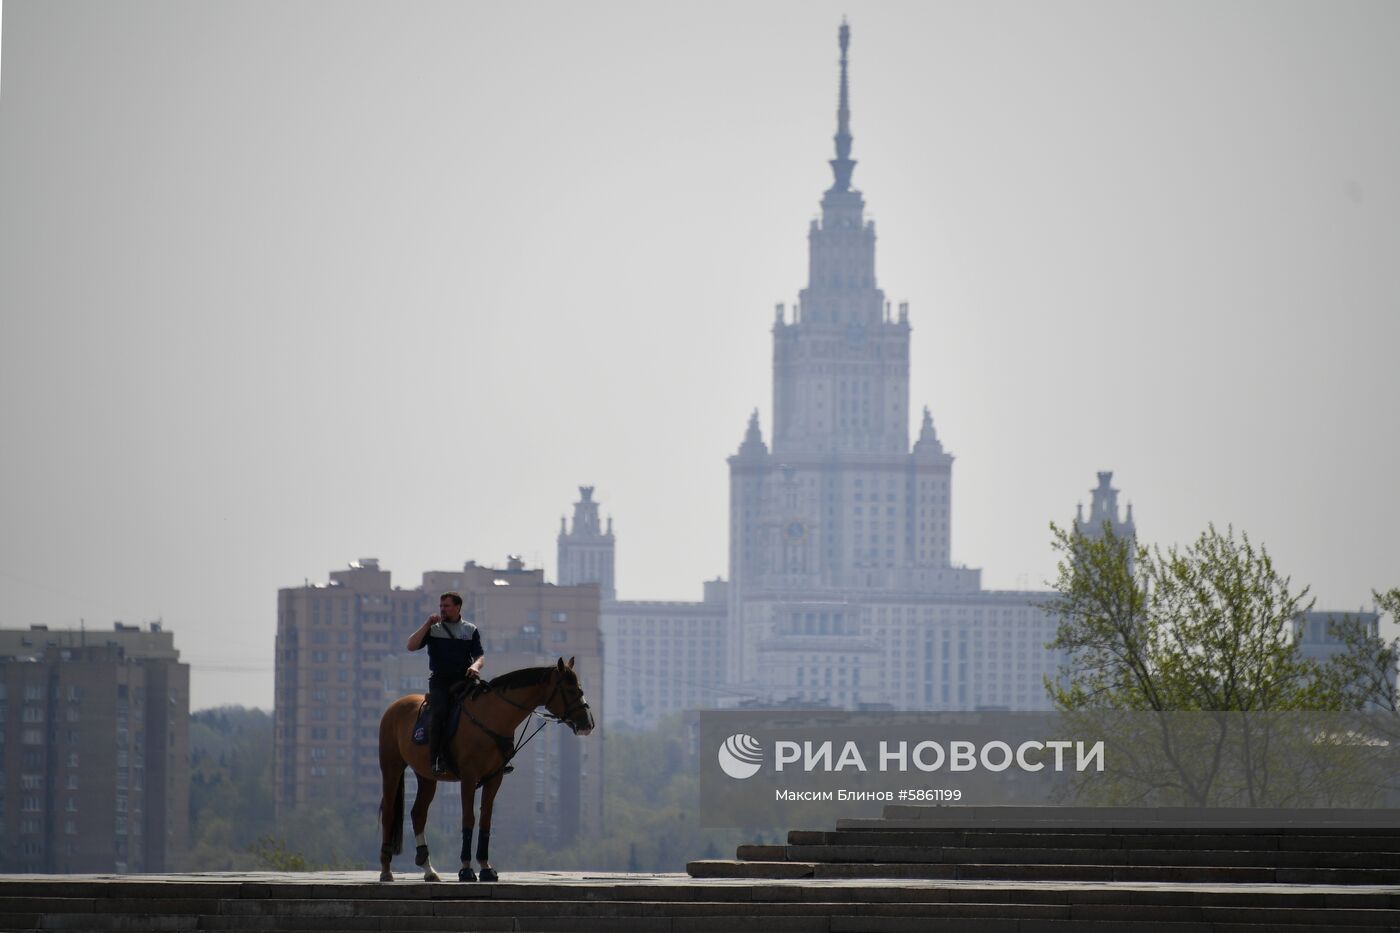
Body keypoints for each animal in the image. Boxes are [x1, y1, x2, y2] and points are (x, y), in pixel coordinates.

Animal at [375, 652, 593, 879]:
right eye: (571, 690)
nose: (588, 724)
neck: (491, 717)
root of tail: (395, 706)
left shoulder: (494, 778)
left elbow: (485, 819)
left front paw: (486, 867)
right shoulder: (468, 778)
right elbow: (468, 818)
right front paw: (466, 869)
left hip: (426, 776)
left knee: (418, 814)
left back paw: (428, 869)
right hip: (391, 768)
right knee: (389, 813)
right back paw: (386, 871)